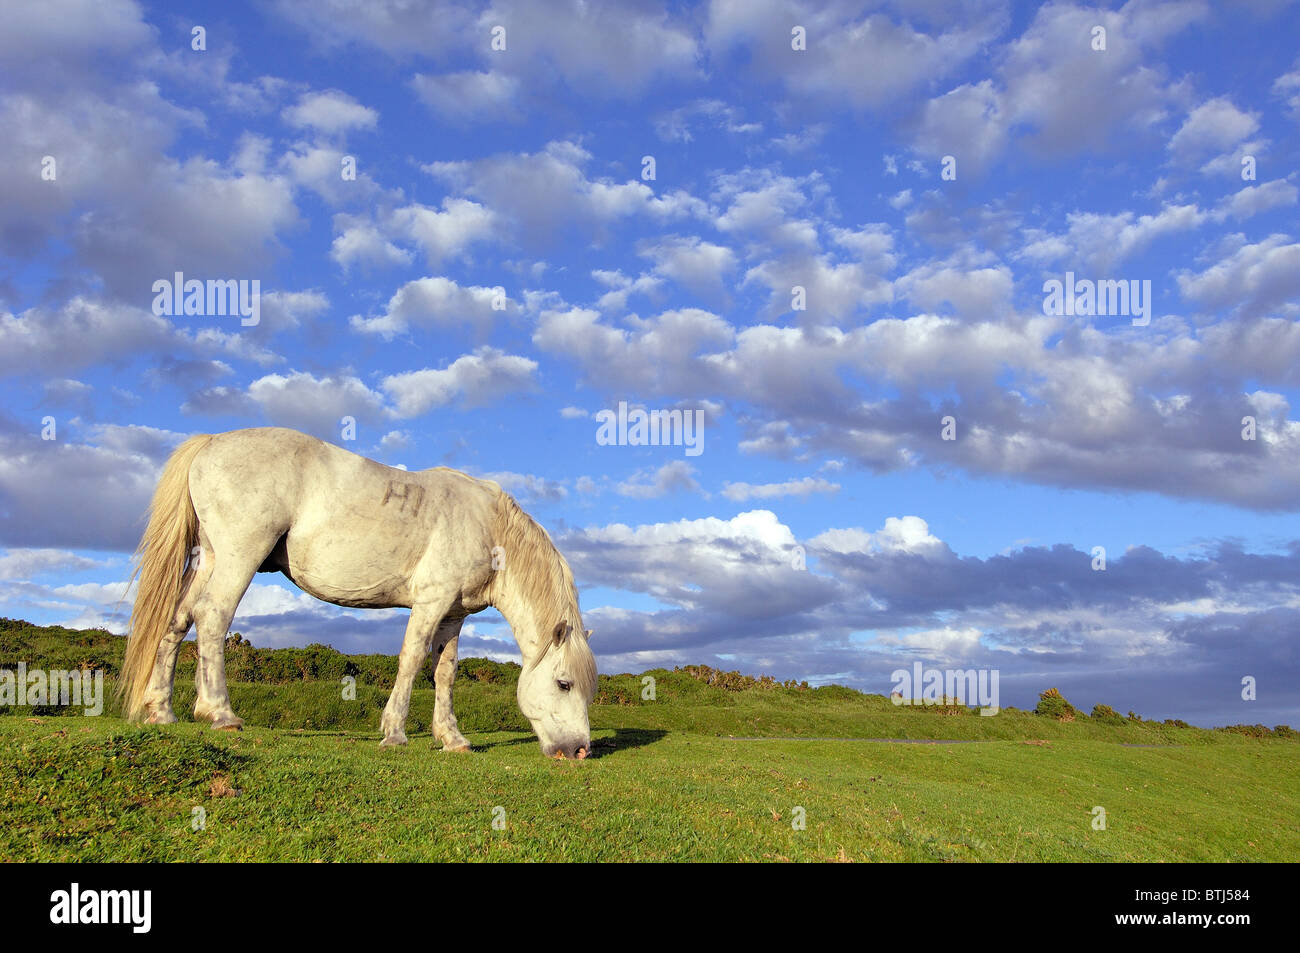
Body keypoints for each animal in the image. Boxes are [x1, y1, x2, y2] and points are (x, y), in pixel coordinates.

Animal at [119, 426, 595, 759]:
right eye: (564, 683)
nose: (579, 751)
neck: (489, 526)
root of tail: (212, 442)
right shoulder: (430, 603)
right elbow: (412, 659)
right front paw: (395, 733)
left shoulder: (453, 615)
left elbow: (445, 672)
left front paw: (452, 737)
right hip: (239, 559)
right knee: (212, 617)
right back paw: (220, 713)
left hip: (209, 560)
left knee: (178, 621)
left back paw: (162, 711)